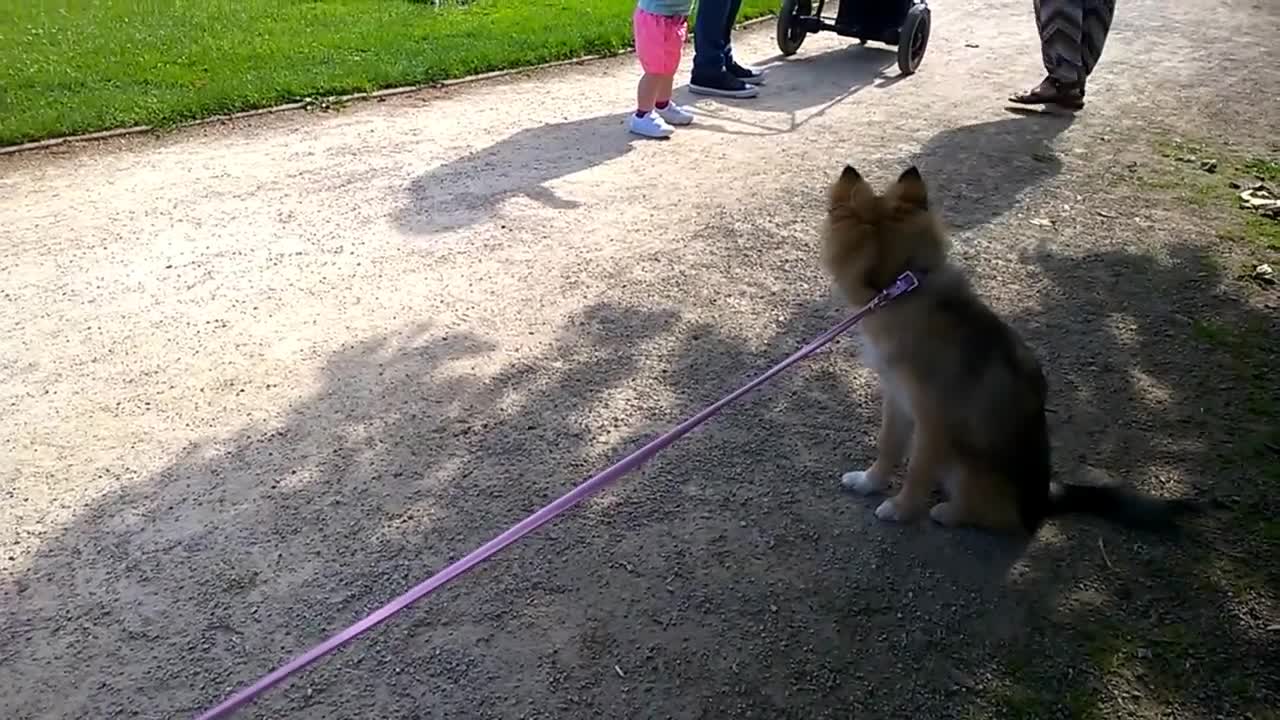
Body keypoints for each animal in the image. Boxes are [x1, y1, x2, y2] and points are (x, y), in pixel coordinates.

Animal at [824, 163, 1192, 532]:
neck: (902, 290)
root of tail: (1043, 501)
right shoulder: (897, 399)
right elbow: (888, 445)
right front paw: (870, 481)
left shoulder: (934, 422)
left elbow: (917, 469)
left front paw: (901, 508)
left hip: (966, 463)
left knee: (1000, 516)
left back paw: (950, 512)